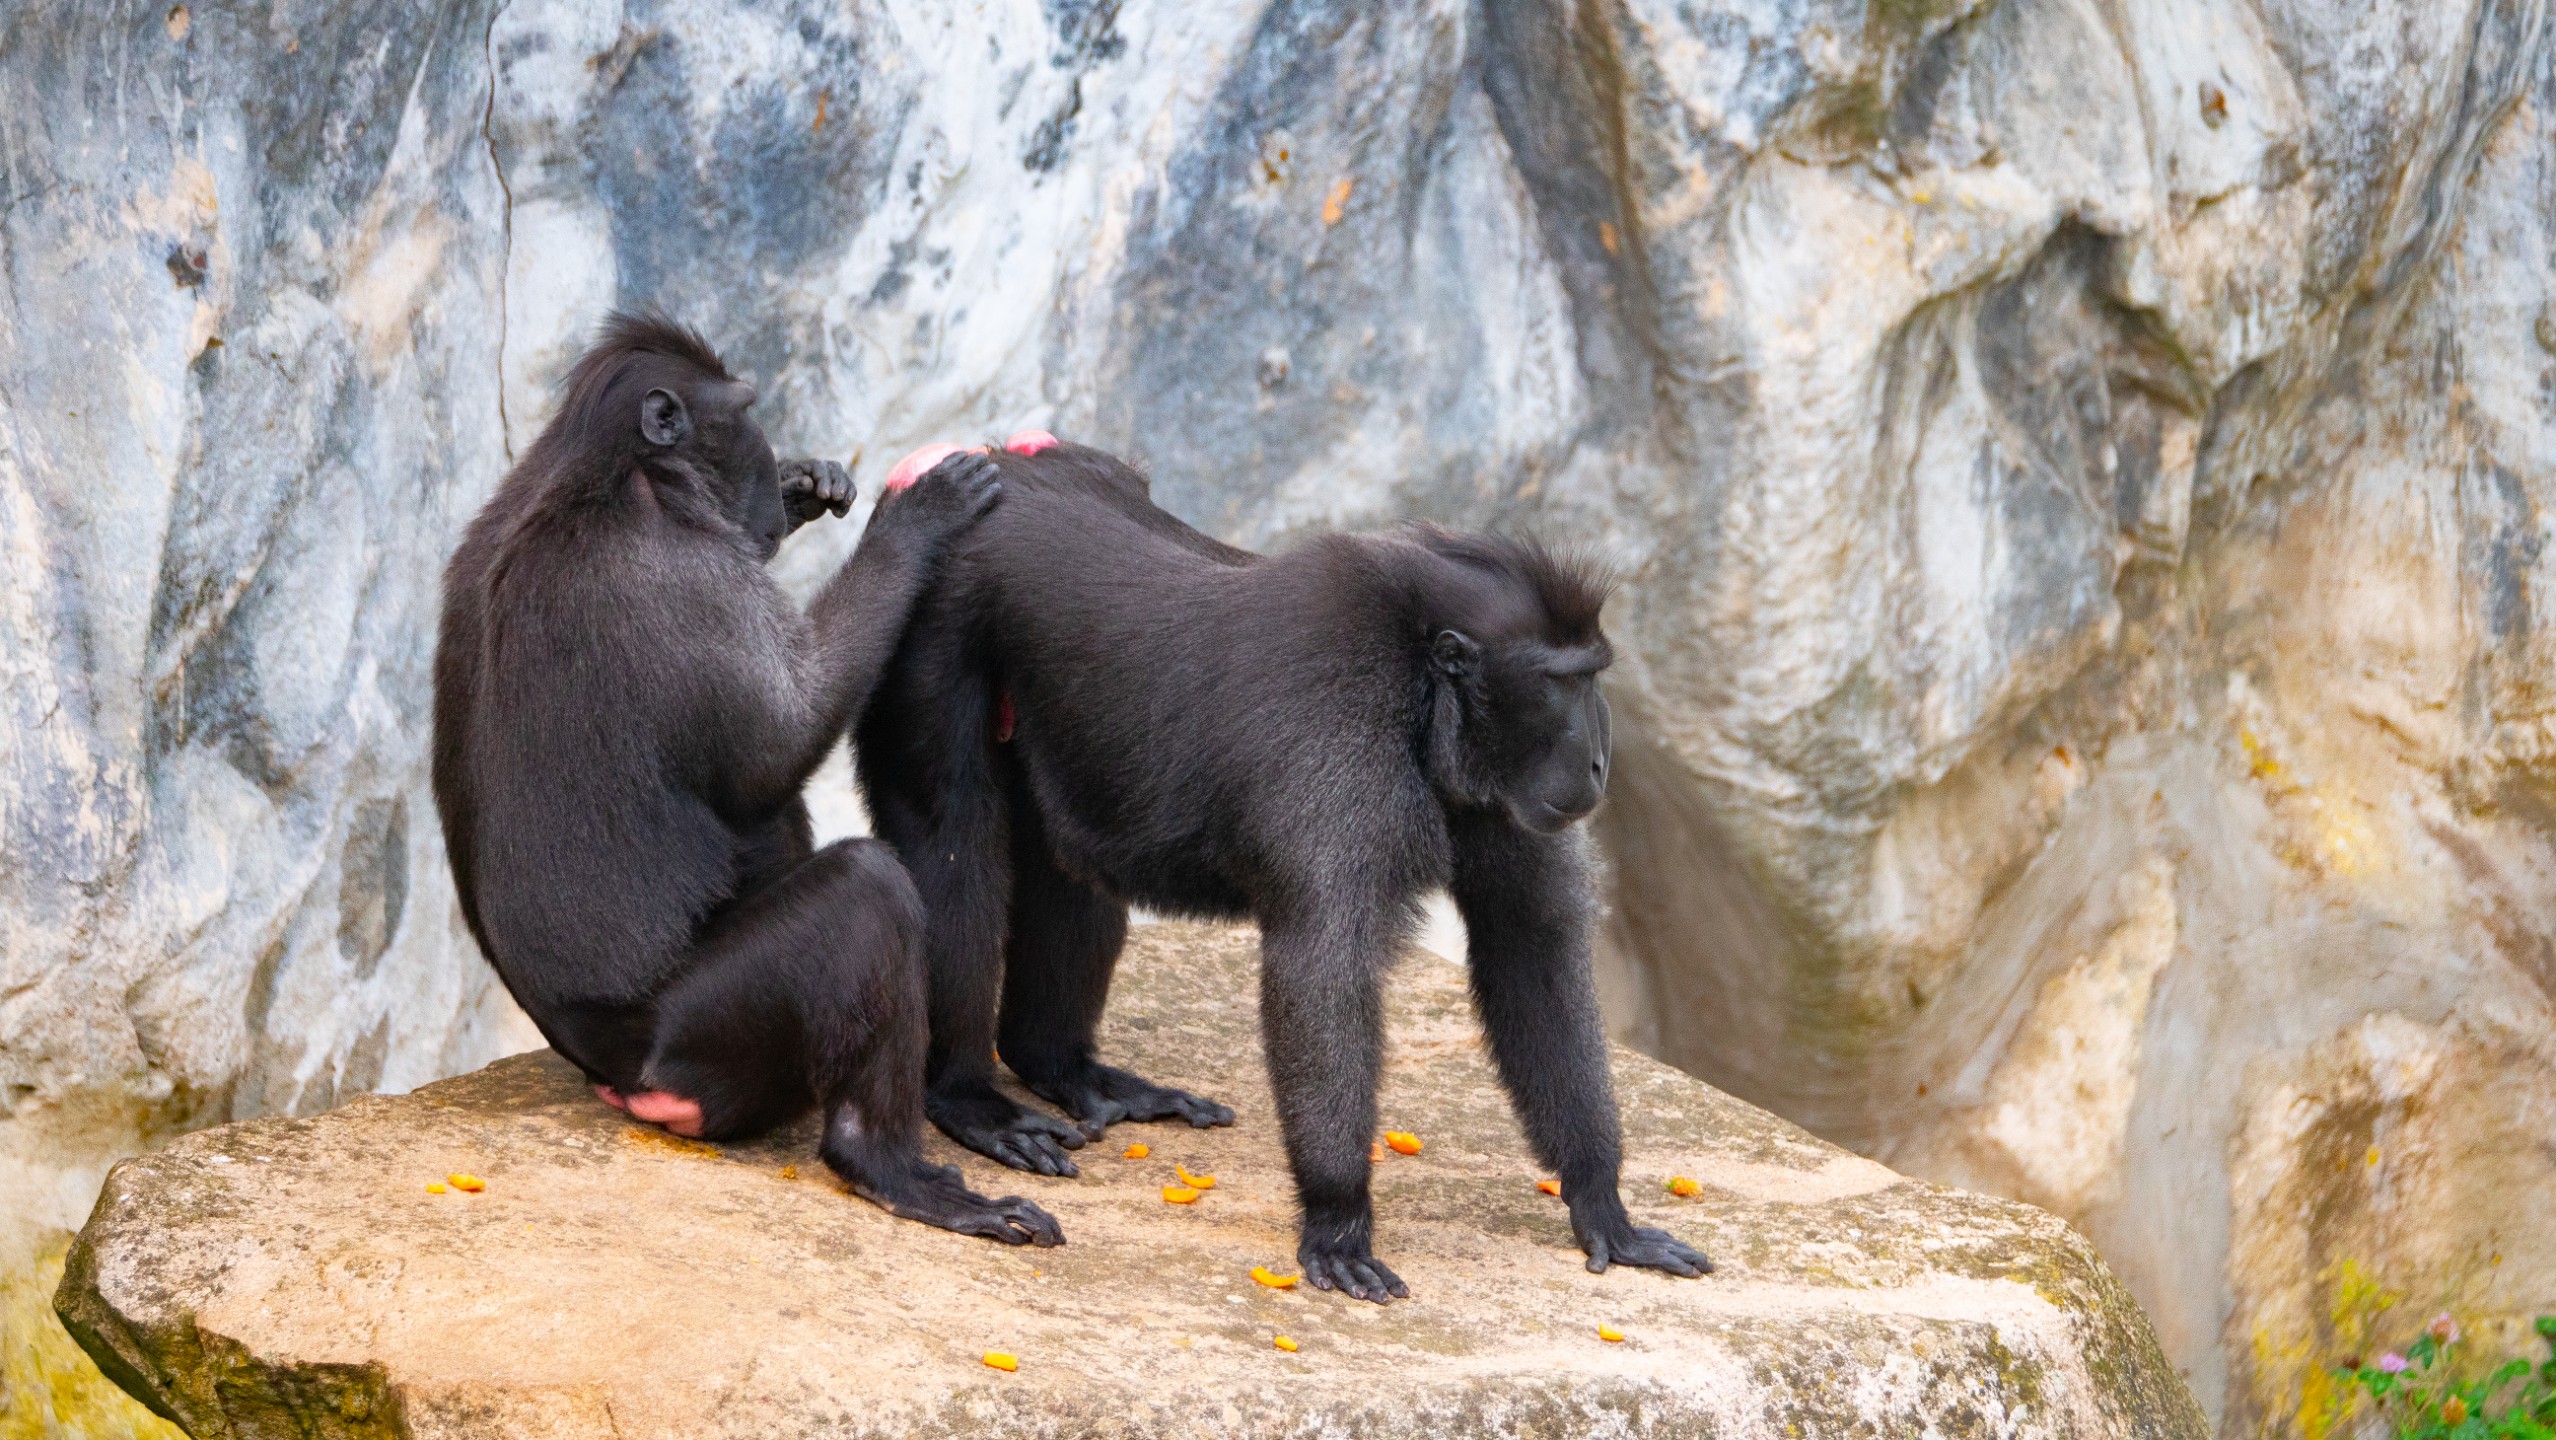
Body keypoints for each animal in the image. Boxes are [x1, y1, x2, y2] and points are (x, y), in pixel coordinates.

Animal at [431, 312, 1059, 1247]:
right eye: (747, 411)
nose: (769, 462)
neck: (622, 475)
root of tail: (625, 1077)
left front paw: (809, 483)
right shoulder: (686, 584)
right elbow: (785, 734)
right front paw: (915, 520)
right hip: (707, 1041)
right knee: (862, 891)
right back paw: (888, 1166)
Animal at [854, 439, 1709, 1298]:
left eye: (1591, 672)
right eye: (1562, 682)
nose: (1599, 761)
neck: (1419, 691)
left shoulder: (1497, 798)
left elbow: (1531, 948)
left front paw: (1602, 1202)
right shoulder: (1342, 746)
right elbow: (1320, 969)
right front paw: (1338, 1217)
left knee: (1067, 860)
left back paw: (1059, 1064)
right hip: (937, 623)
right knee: (951, 842)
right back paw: (968, 1098)